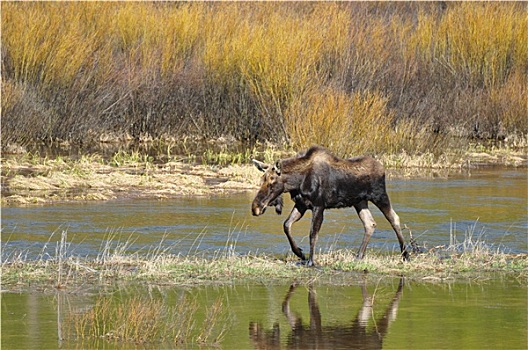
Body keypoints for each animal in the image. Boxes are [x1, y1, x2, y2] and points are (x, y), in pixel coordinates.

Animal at [251, 145, 408, 266]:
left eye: (272, 181)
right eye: (262, 179)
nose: (255, 208)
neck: (297, 181)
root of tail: (383, 169)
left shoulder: (319, 205)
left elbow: (312, 234)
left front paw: (311, 262)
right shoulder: (302, 204)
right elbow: (286, 225)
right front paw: (300, 253)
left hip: (379, 195)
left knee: (394, 218)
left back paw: (405, 254)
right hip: (359, 201)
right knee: (370, 223)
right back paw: (359, 255)